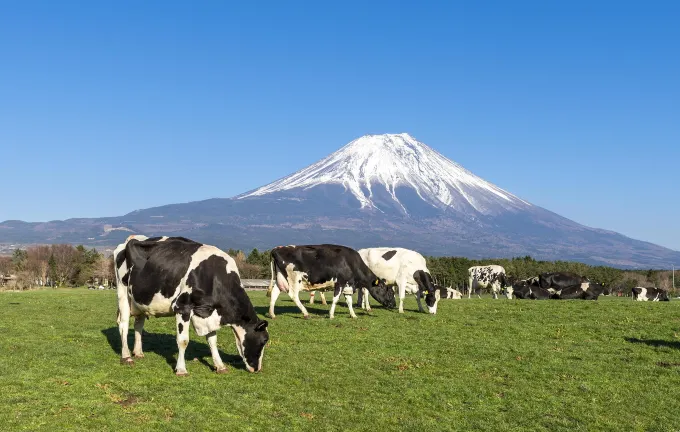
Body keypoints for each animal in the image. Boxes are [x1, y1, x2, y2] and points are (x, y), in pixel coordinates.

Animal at [113, 236, 268, 374]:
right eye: (263, 341)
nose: (258, 369)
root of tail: (129, 240)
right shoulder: (182, 307)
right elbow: (183, 340)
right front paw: (181, 369)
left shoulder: (207, 311)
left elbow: (212, 340)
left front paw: (220, 366)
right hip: (123, 292)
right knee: (124, 325)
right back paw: (126, 356)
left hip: (140, 300)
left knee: (138, 324)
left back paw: (138, 352)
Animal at [264, 245, 396, 318]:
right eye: (388, 291)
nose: (394, 305)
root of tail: (276, 249)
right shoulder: (340, 283)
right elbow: (336, 299)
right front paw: (331, 315)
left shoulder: (348, 285)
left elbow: (349, 301)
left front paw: (353, 315)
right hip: (294, 279)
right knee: (293, 295)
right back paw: (306, 314)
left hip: (281, 278)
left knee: (275, 293)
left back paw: (272, 314)